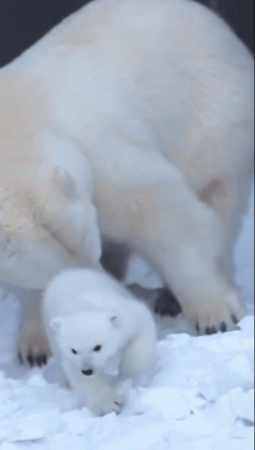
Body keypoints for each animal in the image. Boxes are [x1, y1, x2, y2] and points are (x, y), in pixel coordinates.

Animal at [0, 0, 254, 366]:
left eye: (91, 249)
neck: (16, 128)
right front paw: (35, 346)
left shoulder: (100, 153)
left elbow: (161, 214)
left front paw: (214, 315)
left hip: (211, 118)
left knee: (217, 199)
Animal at [42, 268, 156, 414]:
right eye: (74, 350)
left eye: (97, 347)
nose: (87, 370)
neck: (85, 306)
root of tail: (67, 272)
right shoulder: (69, 354)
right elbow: (80, 377)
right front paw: (111, 404)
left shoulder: (128, 317)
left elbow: (142, 334)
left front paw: (127, 372)